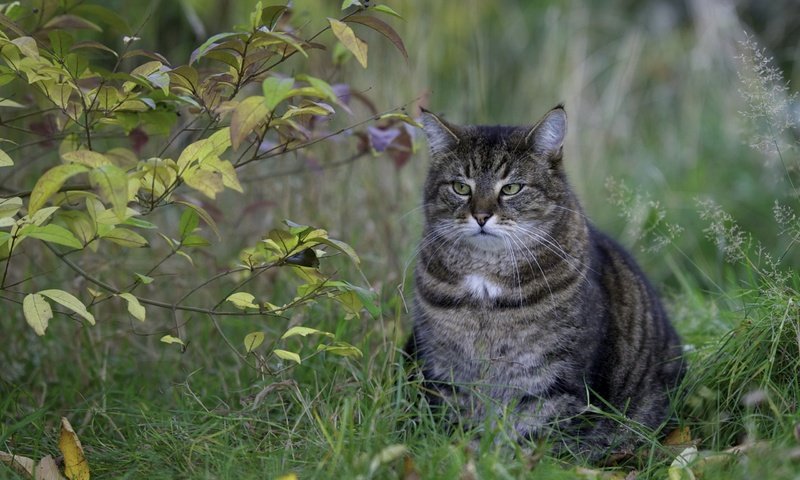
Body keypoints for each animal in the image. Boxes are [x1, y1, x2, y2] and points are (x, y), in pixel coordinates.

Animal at [410, 104, 684, 462]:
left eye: (511, 188)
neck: (485, 282)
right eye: (461, 187)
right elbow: (457, 425)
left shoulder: (554, 380)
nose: (481, 216)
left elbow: (536, 436)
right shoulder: (446, 371)